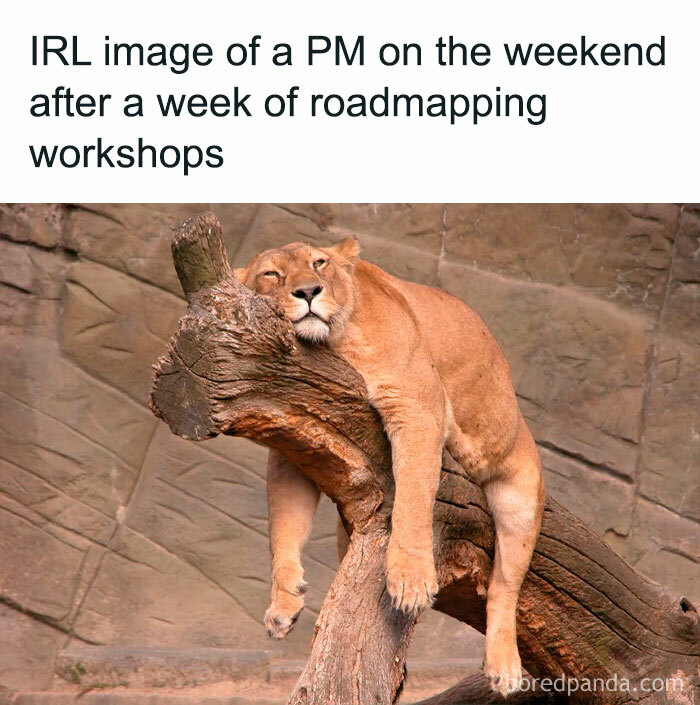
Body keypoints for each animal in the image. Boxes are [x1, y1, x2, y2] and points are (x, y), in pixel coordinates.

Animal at [234, 236, 545, 695]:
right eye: (271, 274)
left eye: (319, 263)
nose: (307, 292)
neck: (332, 346)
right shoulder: (296, 442)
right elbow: (283, 524)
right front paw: (283, 601)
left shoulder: (418, 409)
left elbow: (413, 497)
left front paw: (410, 580)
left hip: (519, 488)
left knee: (504, 585)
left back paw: (503, 668)